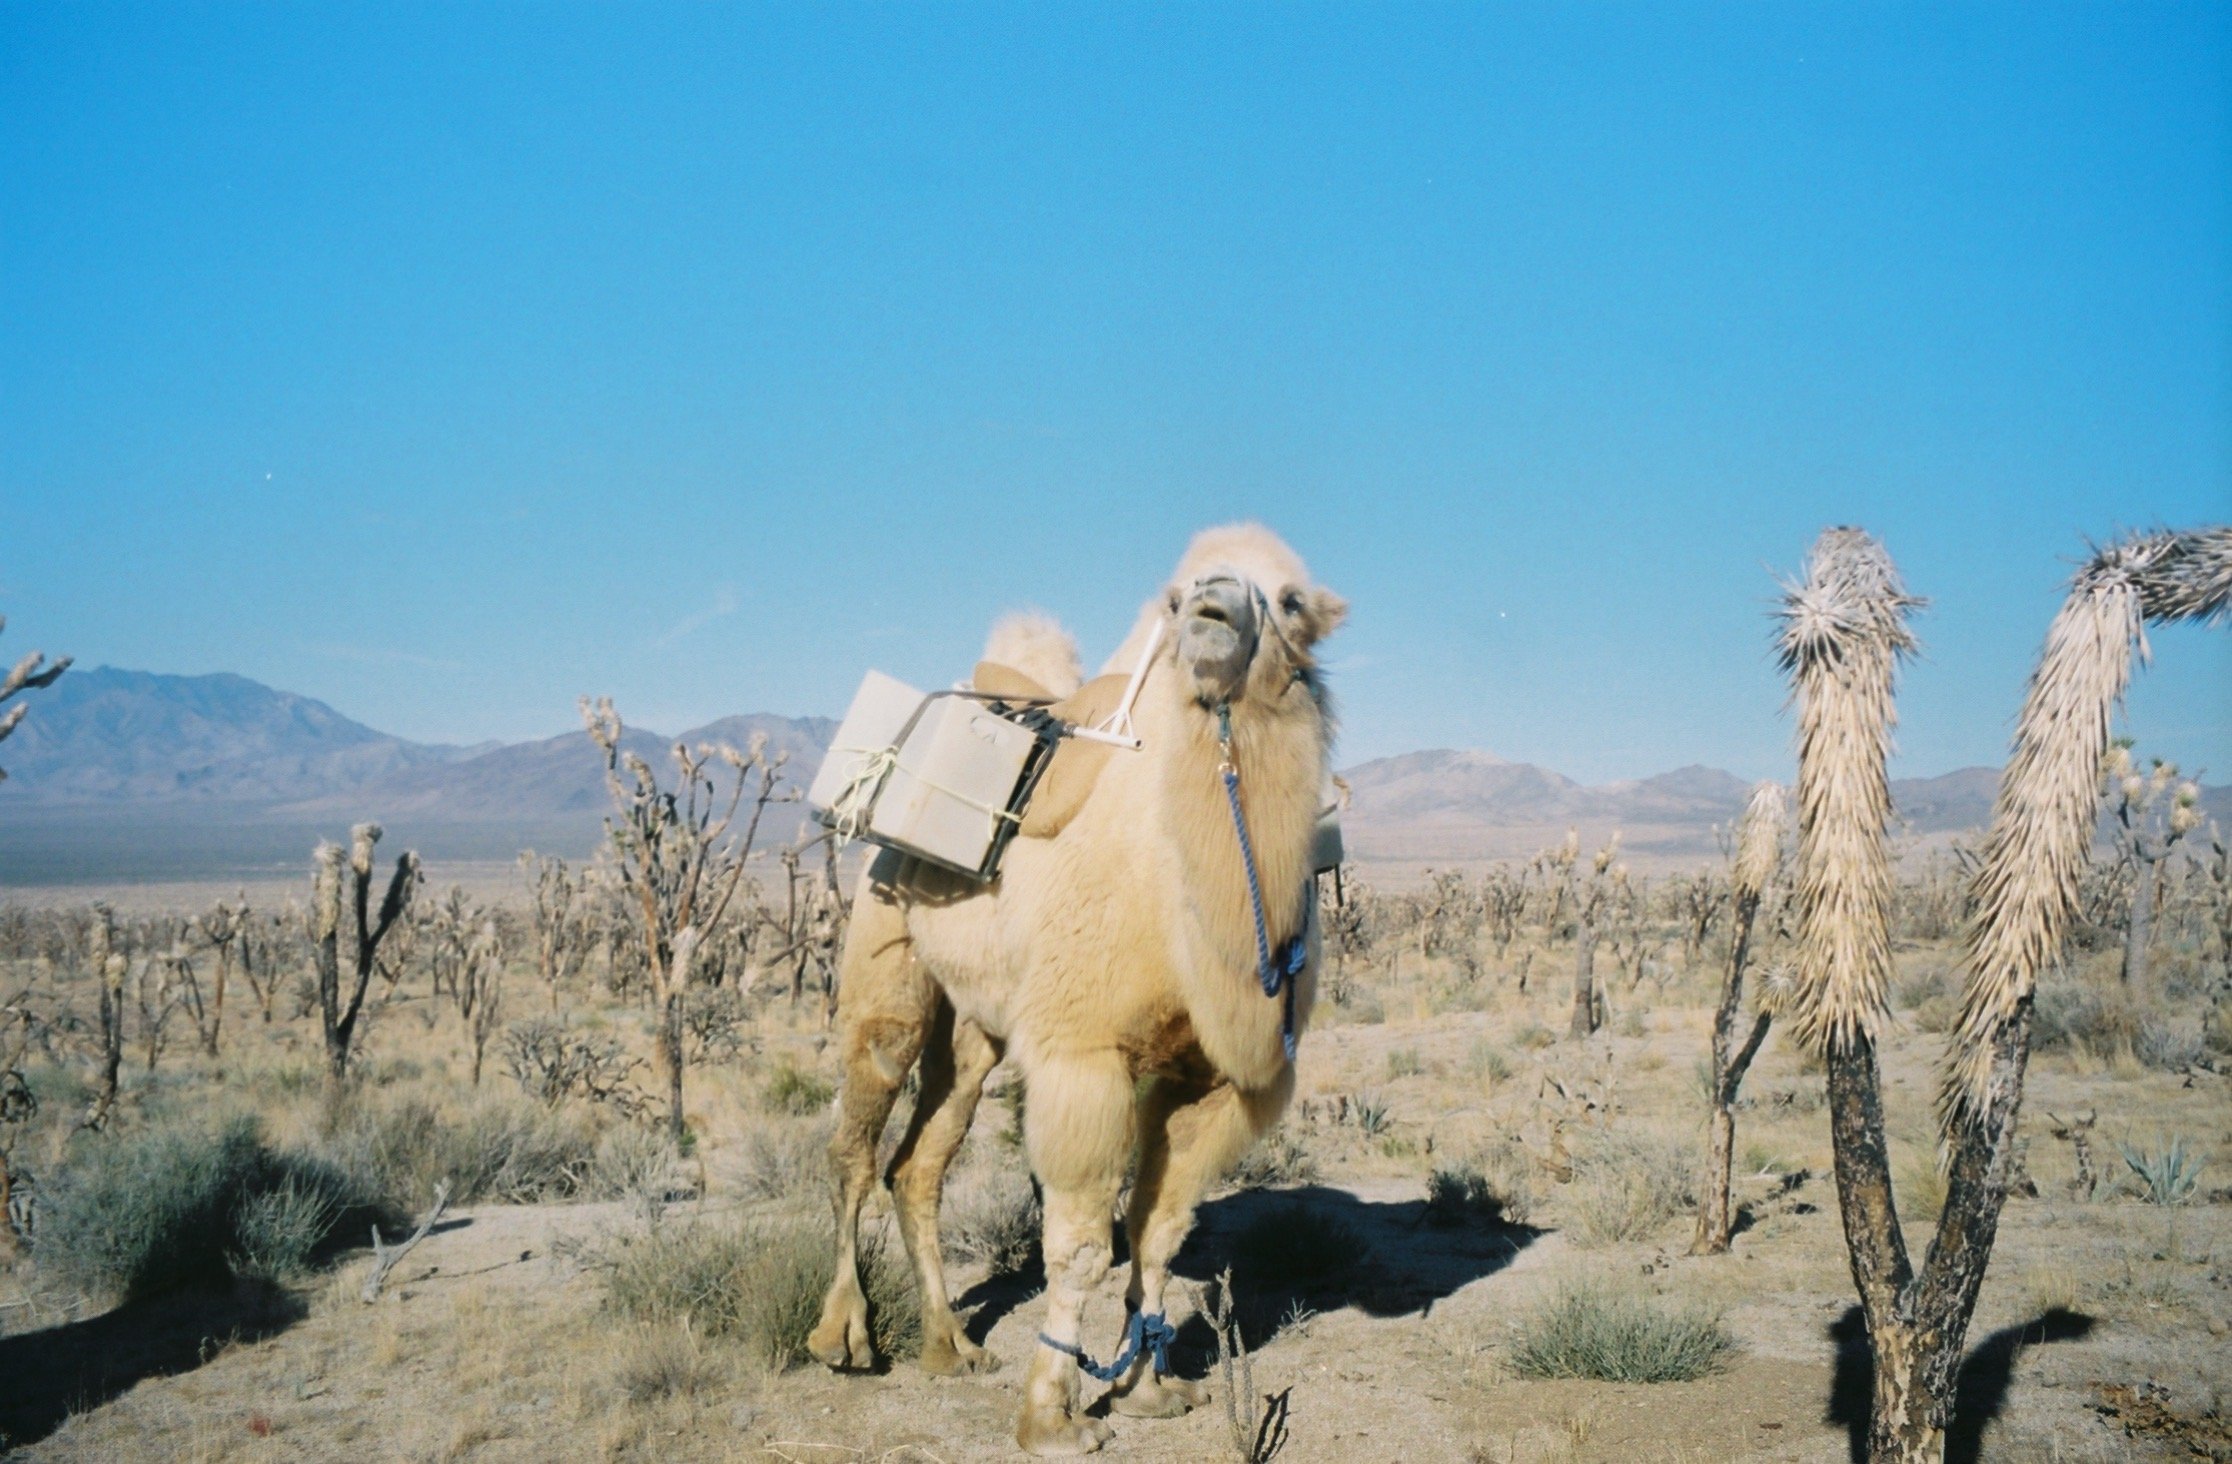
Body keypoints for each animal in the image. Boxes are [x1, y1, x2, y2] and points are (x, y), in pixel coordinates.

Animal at [816, 522, 1348, 1455]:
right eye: (1176, 598)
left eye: (1288, 600)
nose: (1213, 605)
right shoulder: (1083, 1052)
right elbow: (1080, 1247)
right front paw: (1053, 1419)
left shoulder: (1210, 1080)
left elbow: (1159, 1231)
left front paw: (1147, 1388)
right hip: (887, 948)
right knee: (858, 1135)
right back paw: (844, 1337)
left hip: (977, 1027)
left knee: (920, 1163)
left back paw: (950, 1347)